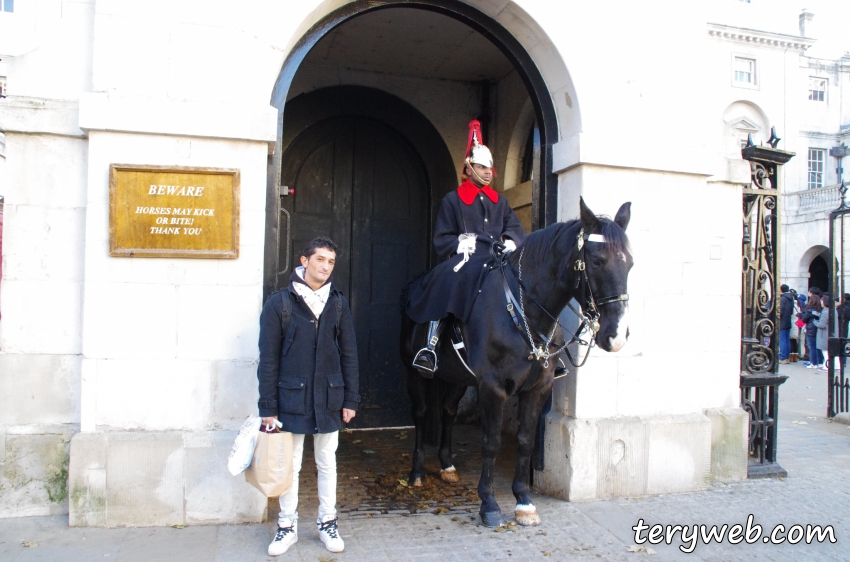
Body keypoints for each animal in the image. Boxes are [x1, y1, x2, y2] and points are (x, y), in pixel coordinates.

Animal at [398, 197, 628, 524]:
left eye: (629, 263)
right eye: (596, 261)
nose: (616, 335)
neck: (524, 309)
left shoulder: (538, 388)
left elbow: (525, 440)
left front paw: (523, 500)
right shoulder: (493, 388)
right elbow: (491, 442)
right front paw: (489, 504)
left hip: (457, 377)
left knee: (448, 411)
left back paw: (447, 466)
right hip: (414, 372)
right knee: (420, 413)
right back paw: (417, 472)